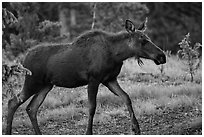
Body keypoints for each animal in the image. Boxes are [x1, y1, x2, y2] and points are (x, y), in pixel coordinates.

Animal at [5, 18, 166, 135]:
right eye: (143, 40)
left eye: (148, 38)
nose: (162, 56)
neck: (116, 54)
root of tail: (24, 58)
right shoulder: (93, 79)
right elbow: (92, 107)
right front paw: (89, 132)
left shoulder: (110, 79)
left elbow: (126, 97)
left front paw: (136, 128)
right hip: (32, 82)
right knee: (13, 101)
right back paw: (8, 132)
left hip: (46, 85)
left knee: (31, 108)